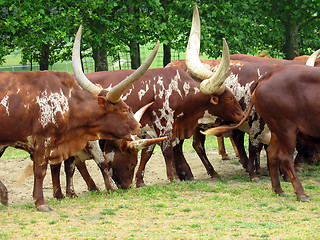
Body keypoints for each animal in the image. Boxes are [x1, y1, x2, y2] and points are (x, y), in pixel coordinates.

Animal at [0, 25, 159, 211]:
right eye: (125, 110)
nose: (138, 126)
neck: (69, 103)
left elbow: (69, 166)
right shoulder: (43, 140)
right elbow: (41, 170)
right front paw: (40, 202)